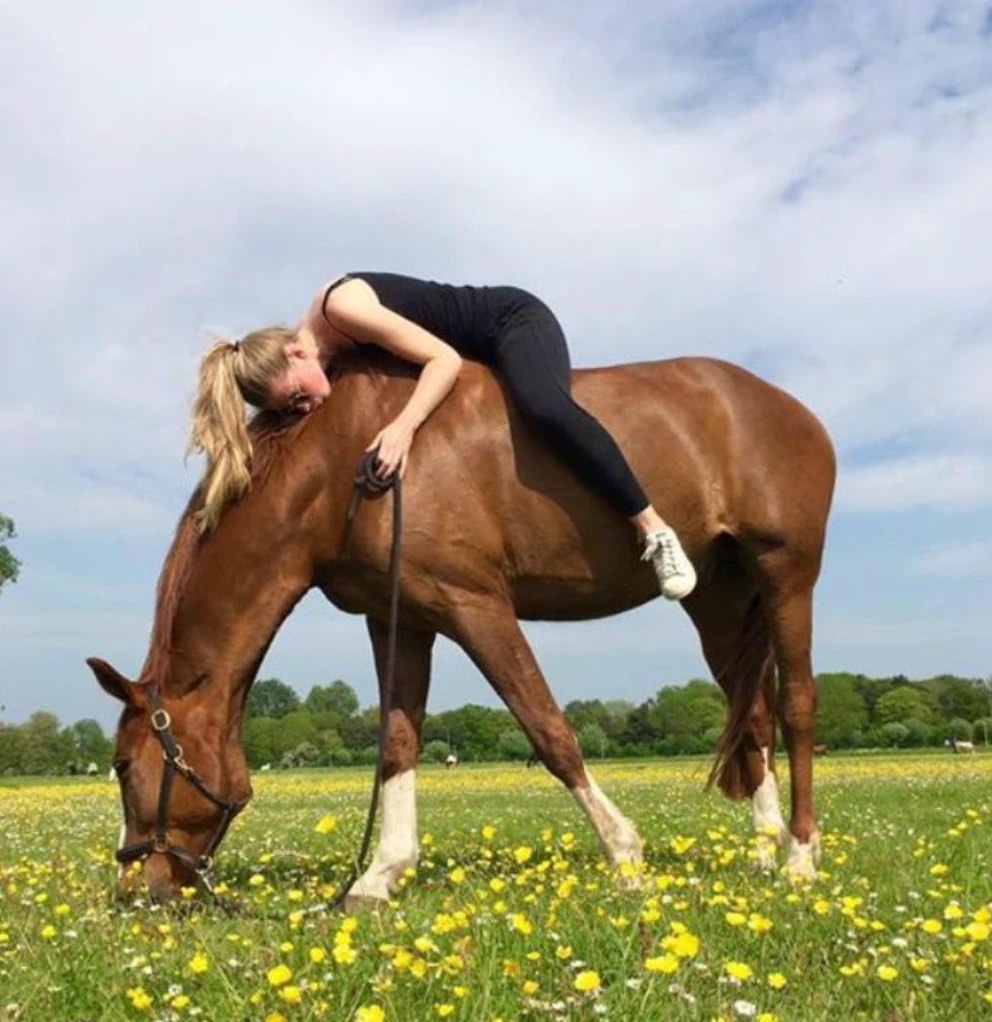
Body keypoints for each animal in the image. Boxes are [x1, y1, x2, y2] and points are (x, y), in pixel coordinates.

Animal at [87, 351, 835, 903]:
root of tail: (790, 408)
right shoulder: (400, 619)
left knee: (797, 705)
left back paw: (801, 856)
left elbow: (548, 728)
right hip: (718, 602)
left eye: (124, 765)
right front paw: (379, 875)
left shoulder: (474, 605)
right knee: (752, 717)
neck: (343, 462)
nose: (139, 888)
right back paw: (763, 852)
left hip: (787, 578)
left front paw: (626, 856)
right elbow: (397, 742)